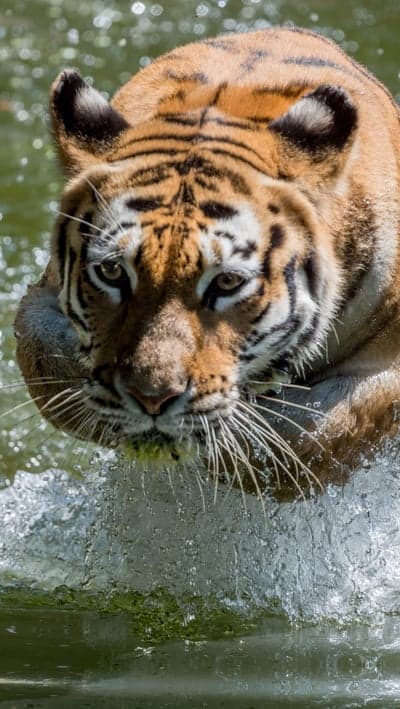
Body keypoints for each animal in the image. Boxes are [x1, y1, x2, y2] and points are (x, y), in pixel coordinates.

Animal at [14, 26, 400, 498]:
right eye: (112, 272)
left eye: (227, 282)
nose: (152, 399)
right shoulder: (42, 299)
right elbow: (47, 362)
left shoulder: (385, 362)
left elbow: (313, 437)